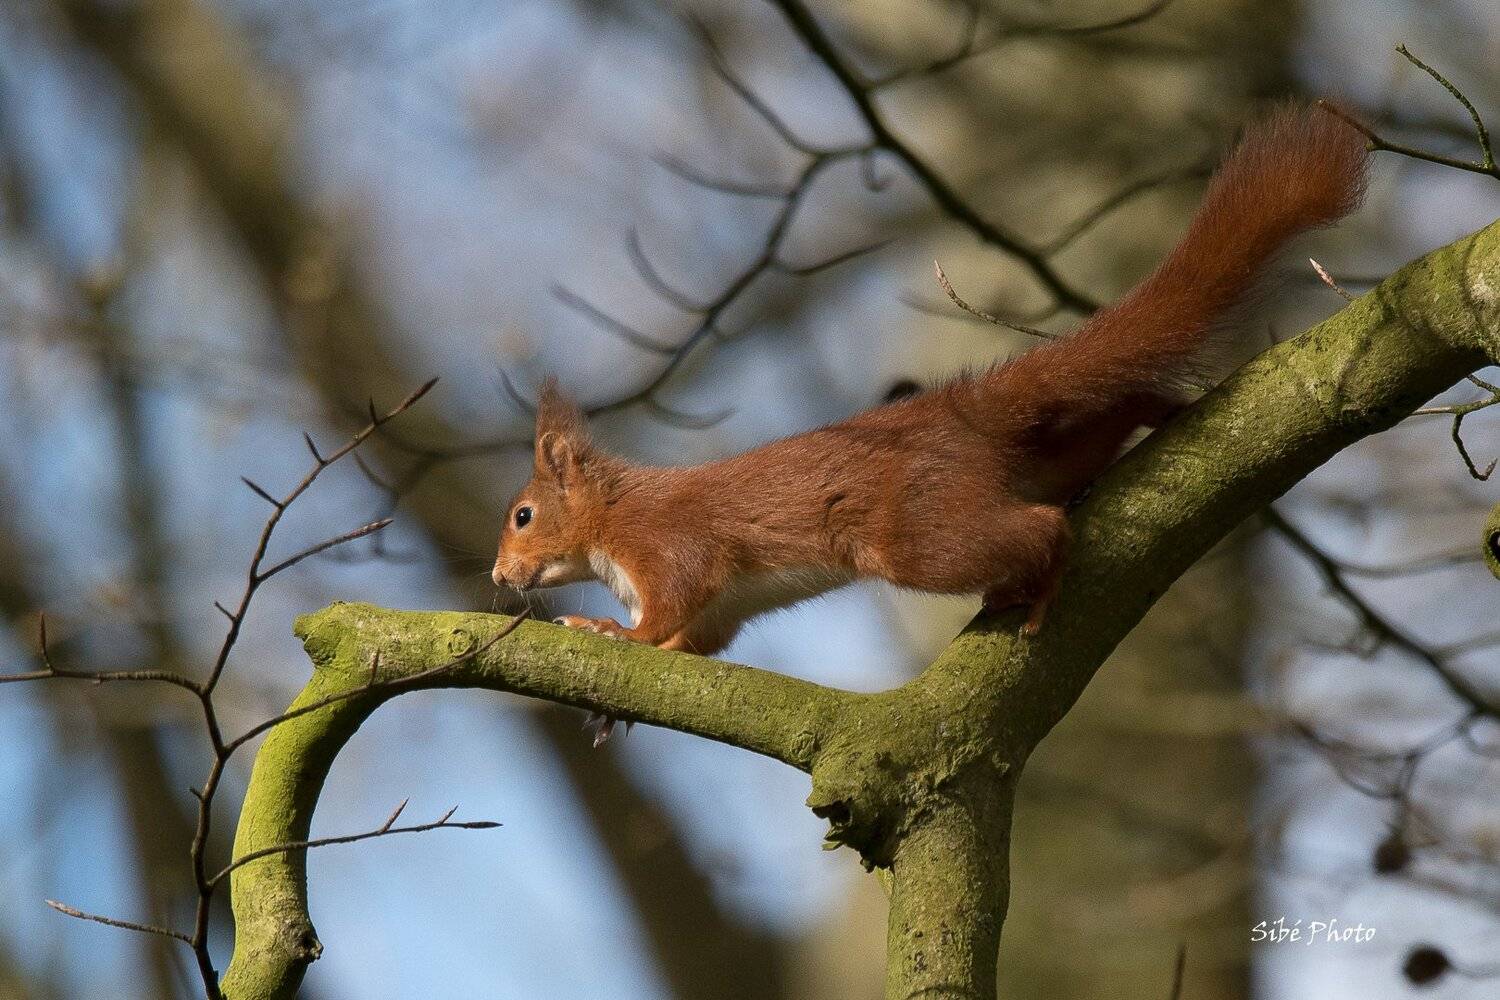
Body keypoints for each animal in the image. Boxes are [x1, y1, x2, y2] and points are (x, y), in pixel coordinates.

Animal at [492, 105, 1367, 663]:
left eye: (523, 515)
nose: (498, 577)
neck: (610, 521)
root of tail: (964, 413)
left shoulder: (669, 544)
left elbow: (672, 603)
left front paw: (614, 635)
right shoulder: (722, 609)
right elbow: (698, 640)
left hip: (914, 527)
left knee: (1039, 528)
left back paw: (1040, 588)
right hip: (1049, 448)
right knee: (1104, 422)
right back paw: (1167, 409)